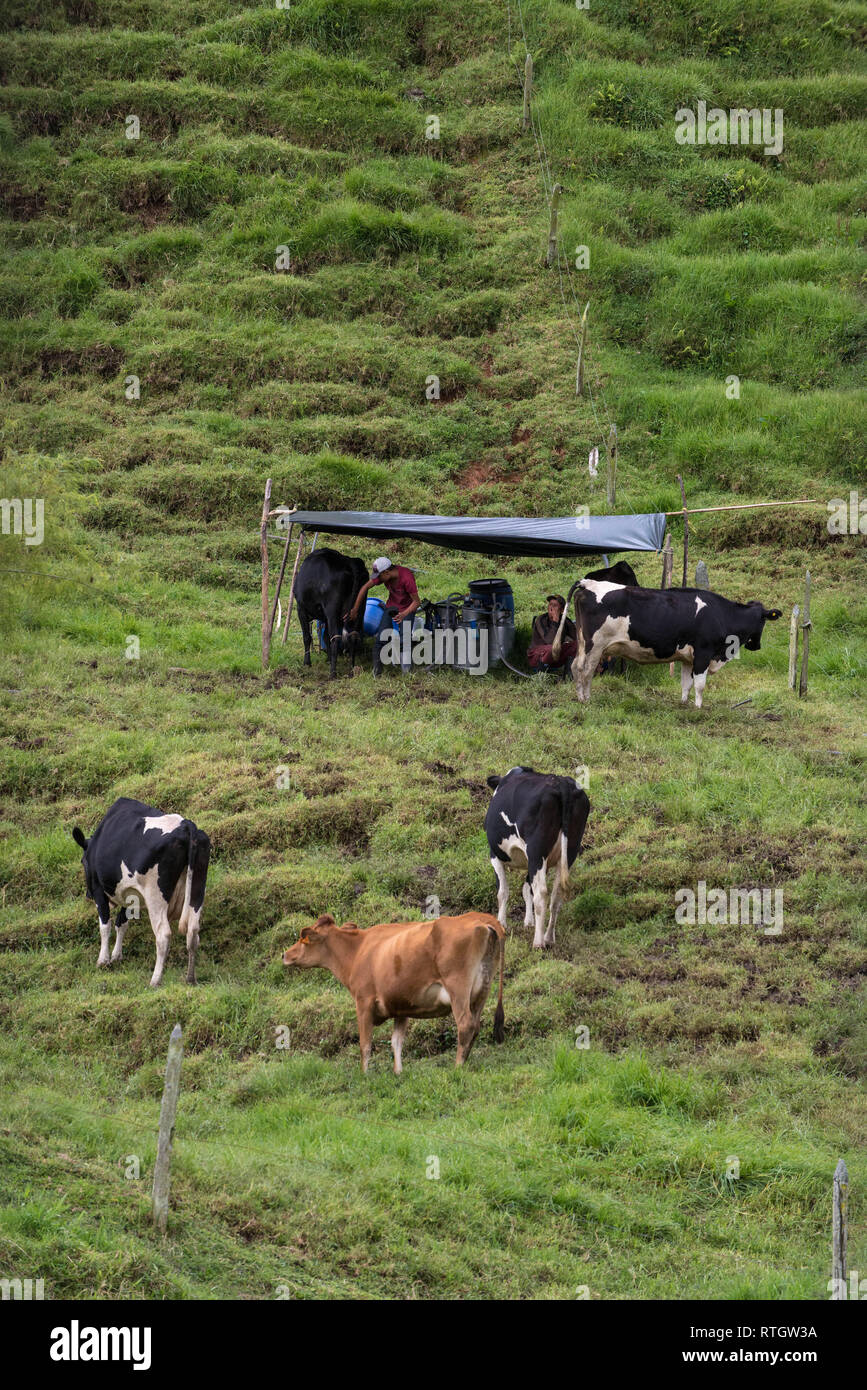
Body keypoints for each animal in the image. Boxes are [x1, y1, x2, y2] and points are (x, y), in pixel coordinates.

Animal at [71, 800, 211, 984]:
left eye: (82, 861)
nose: (88, 895)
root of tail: (186, 826)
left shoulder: (98, 890)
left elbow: (105, 925)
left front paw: (103, 960)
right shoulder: (130, 894)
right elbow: (121, 923)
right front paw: (116, 956)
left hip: (155, 895)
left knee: (163, 934)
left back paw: (155, 980)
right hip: (197, 887)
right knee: (193, 932)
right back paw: (190, 978)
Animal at [280, 911, 505, 1073]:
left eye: (303, 939)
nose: (284, 954)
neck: (357, 951)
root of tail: (481, 918)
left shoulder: (363, 1002)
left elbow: (365, 1044)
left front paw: (364, 1074)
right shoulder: (401, 1006)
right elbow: (396, 1042)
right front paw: (398, 1072)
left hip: (458, 987)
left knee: (465, 1024)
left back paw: (457, 1067)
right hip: (482, 990)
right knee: (475, 1025)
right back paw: (464, 1062)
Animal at [295, 544, 366, 675]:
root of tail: (348, 561)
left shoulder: (301, 608)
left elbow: (307, 637)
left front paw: (307, 663)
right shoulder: (325, 618)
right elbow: (325, 637)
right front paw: (328, 659)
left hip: (332, 610)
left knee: (336, 638)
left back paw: (333, 672)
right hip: (359, 609)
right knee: (353, 636)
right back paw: (351, 669)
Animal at [483, 767, 591, 950]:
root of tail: (561, 783)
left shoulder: (495, 855)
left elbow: (503, 891)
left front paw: (501, 924)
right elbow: (527, 890)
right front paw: (529, 922)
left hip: (536, 851)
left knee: (541, 894)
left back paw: (538, 942)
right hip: (569, 850)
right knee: (556, 896)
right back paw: (549, 938)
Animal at [555, 578, 783, 706]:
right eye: (763, 620)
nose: (756, 645)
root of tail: (589, 583)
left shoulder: (688, 658)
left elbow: (686, 684)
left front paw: (683, 704)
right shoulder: (703, 653)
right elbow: (700, 685)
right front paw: (699, 708)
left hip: (583, 642)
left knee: (575, 667)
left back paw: (581, 697)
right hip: (595, 645)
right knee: (586, 670)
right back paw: (585, 700)